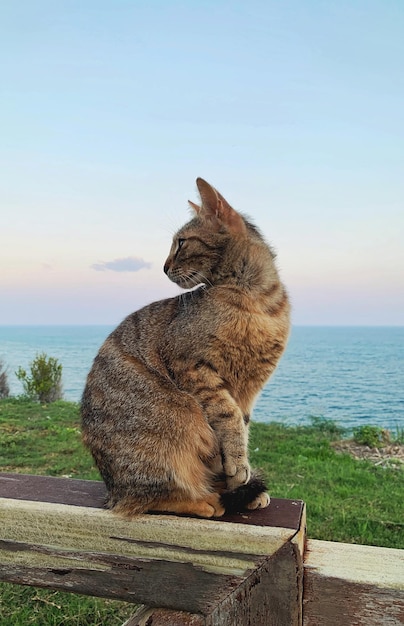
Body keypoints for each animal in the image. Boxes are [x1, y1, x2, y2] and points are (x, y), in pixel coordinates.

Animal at [81, 177, 290, 516]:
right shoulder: (192, 366)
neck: (256, 299)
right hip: (178, 415)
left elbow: (241, 427)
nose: (164, 267)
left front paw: (238, 479)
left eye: (181, 243)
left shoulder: (249, 389)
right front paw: (237, 470)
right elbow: (229, 418)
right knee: (146, 497)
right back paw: (204, 501)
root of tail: (111, 490)